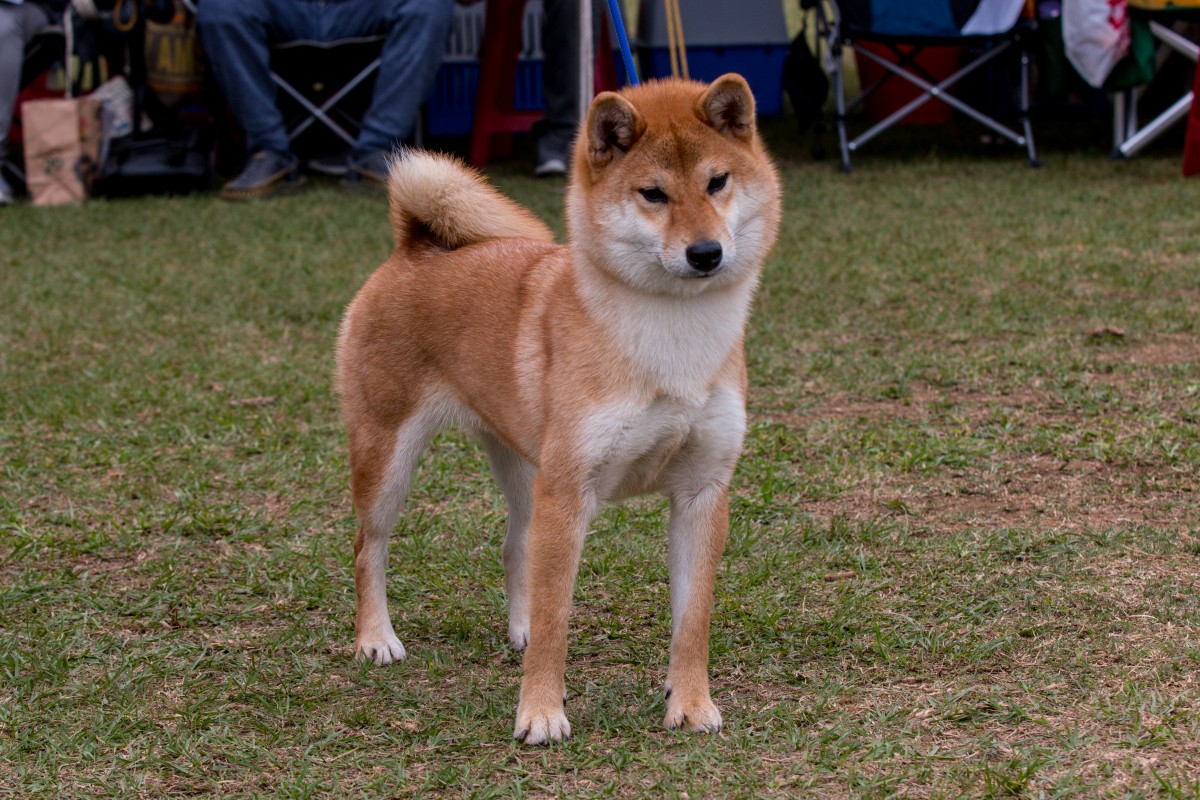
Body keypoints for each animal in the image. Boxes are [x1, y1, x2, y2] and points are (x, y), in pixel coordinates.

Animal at [338, 74, 782, 743]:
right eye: (653, 193)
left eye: (716, 182)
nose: (706, 252)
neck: (671, 342)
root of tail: (415, 247)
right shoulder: (570, 493)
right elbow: (557, 622)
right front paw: (541, 713)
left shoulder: (701, 492)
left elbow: (692, 620)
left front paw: (691, 702)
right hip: (392, 459)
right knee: (370, 545)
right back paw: (376, 638)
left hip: (526, 469)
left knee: (513, 545)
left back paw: (515, 628)